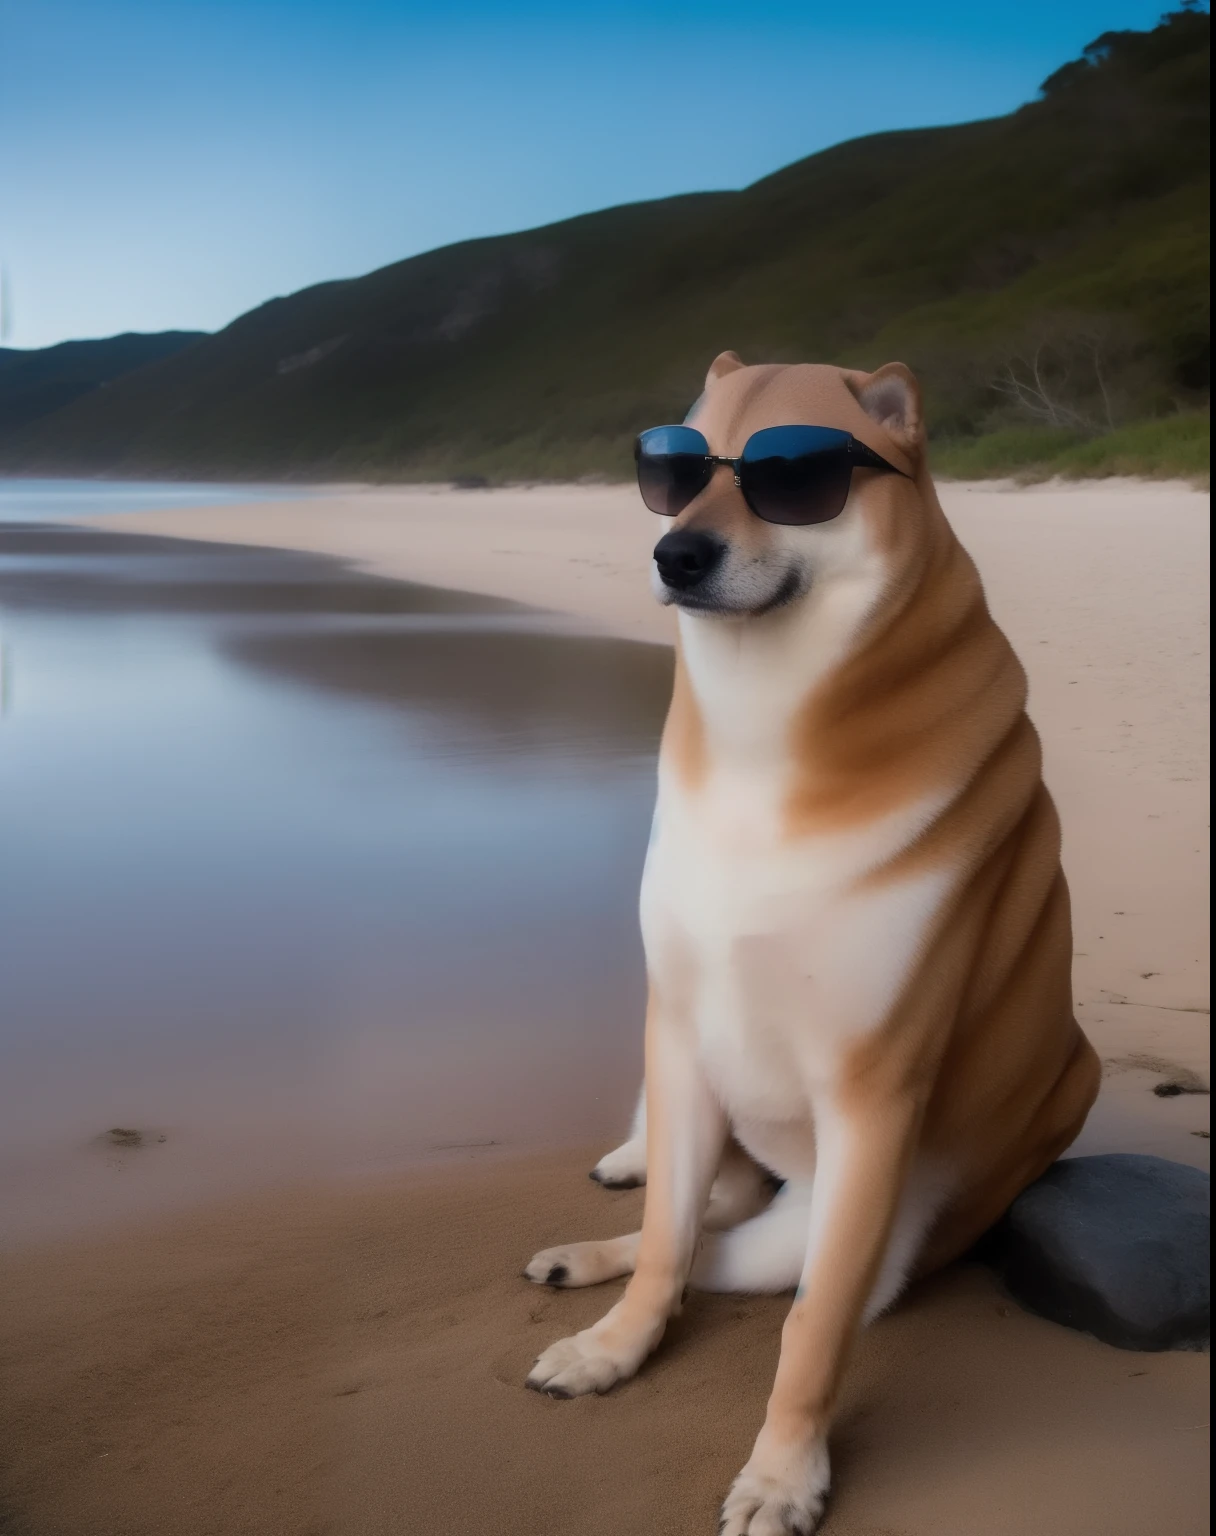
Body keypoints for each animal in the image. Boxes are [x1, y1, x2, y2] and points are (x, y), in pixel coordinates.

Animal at [518, 356, 1099, 1536]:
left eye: (794, 478)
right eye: (674, 470)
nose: (677, 553)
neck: (767, 735)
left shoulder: (871, 1104)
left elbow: (813, 1322)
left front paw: (784, 1474)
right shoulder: (680, 1034)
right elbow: (664, 1244)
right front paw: (613, 1349)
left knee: (738, 1246)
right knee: (691, 1218)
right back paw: (588, 1244)